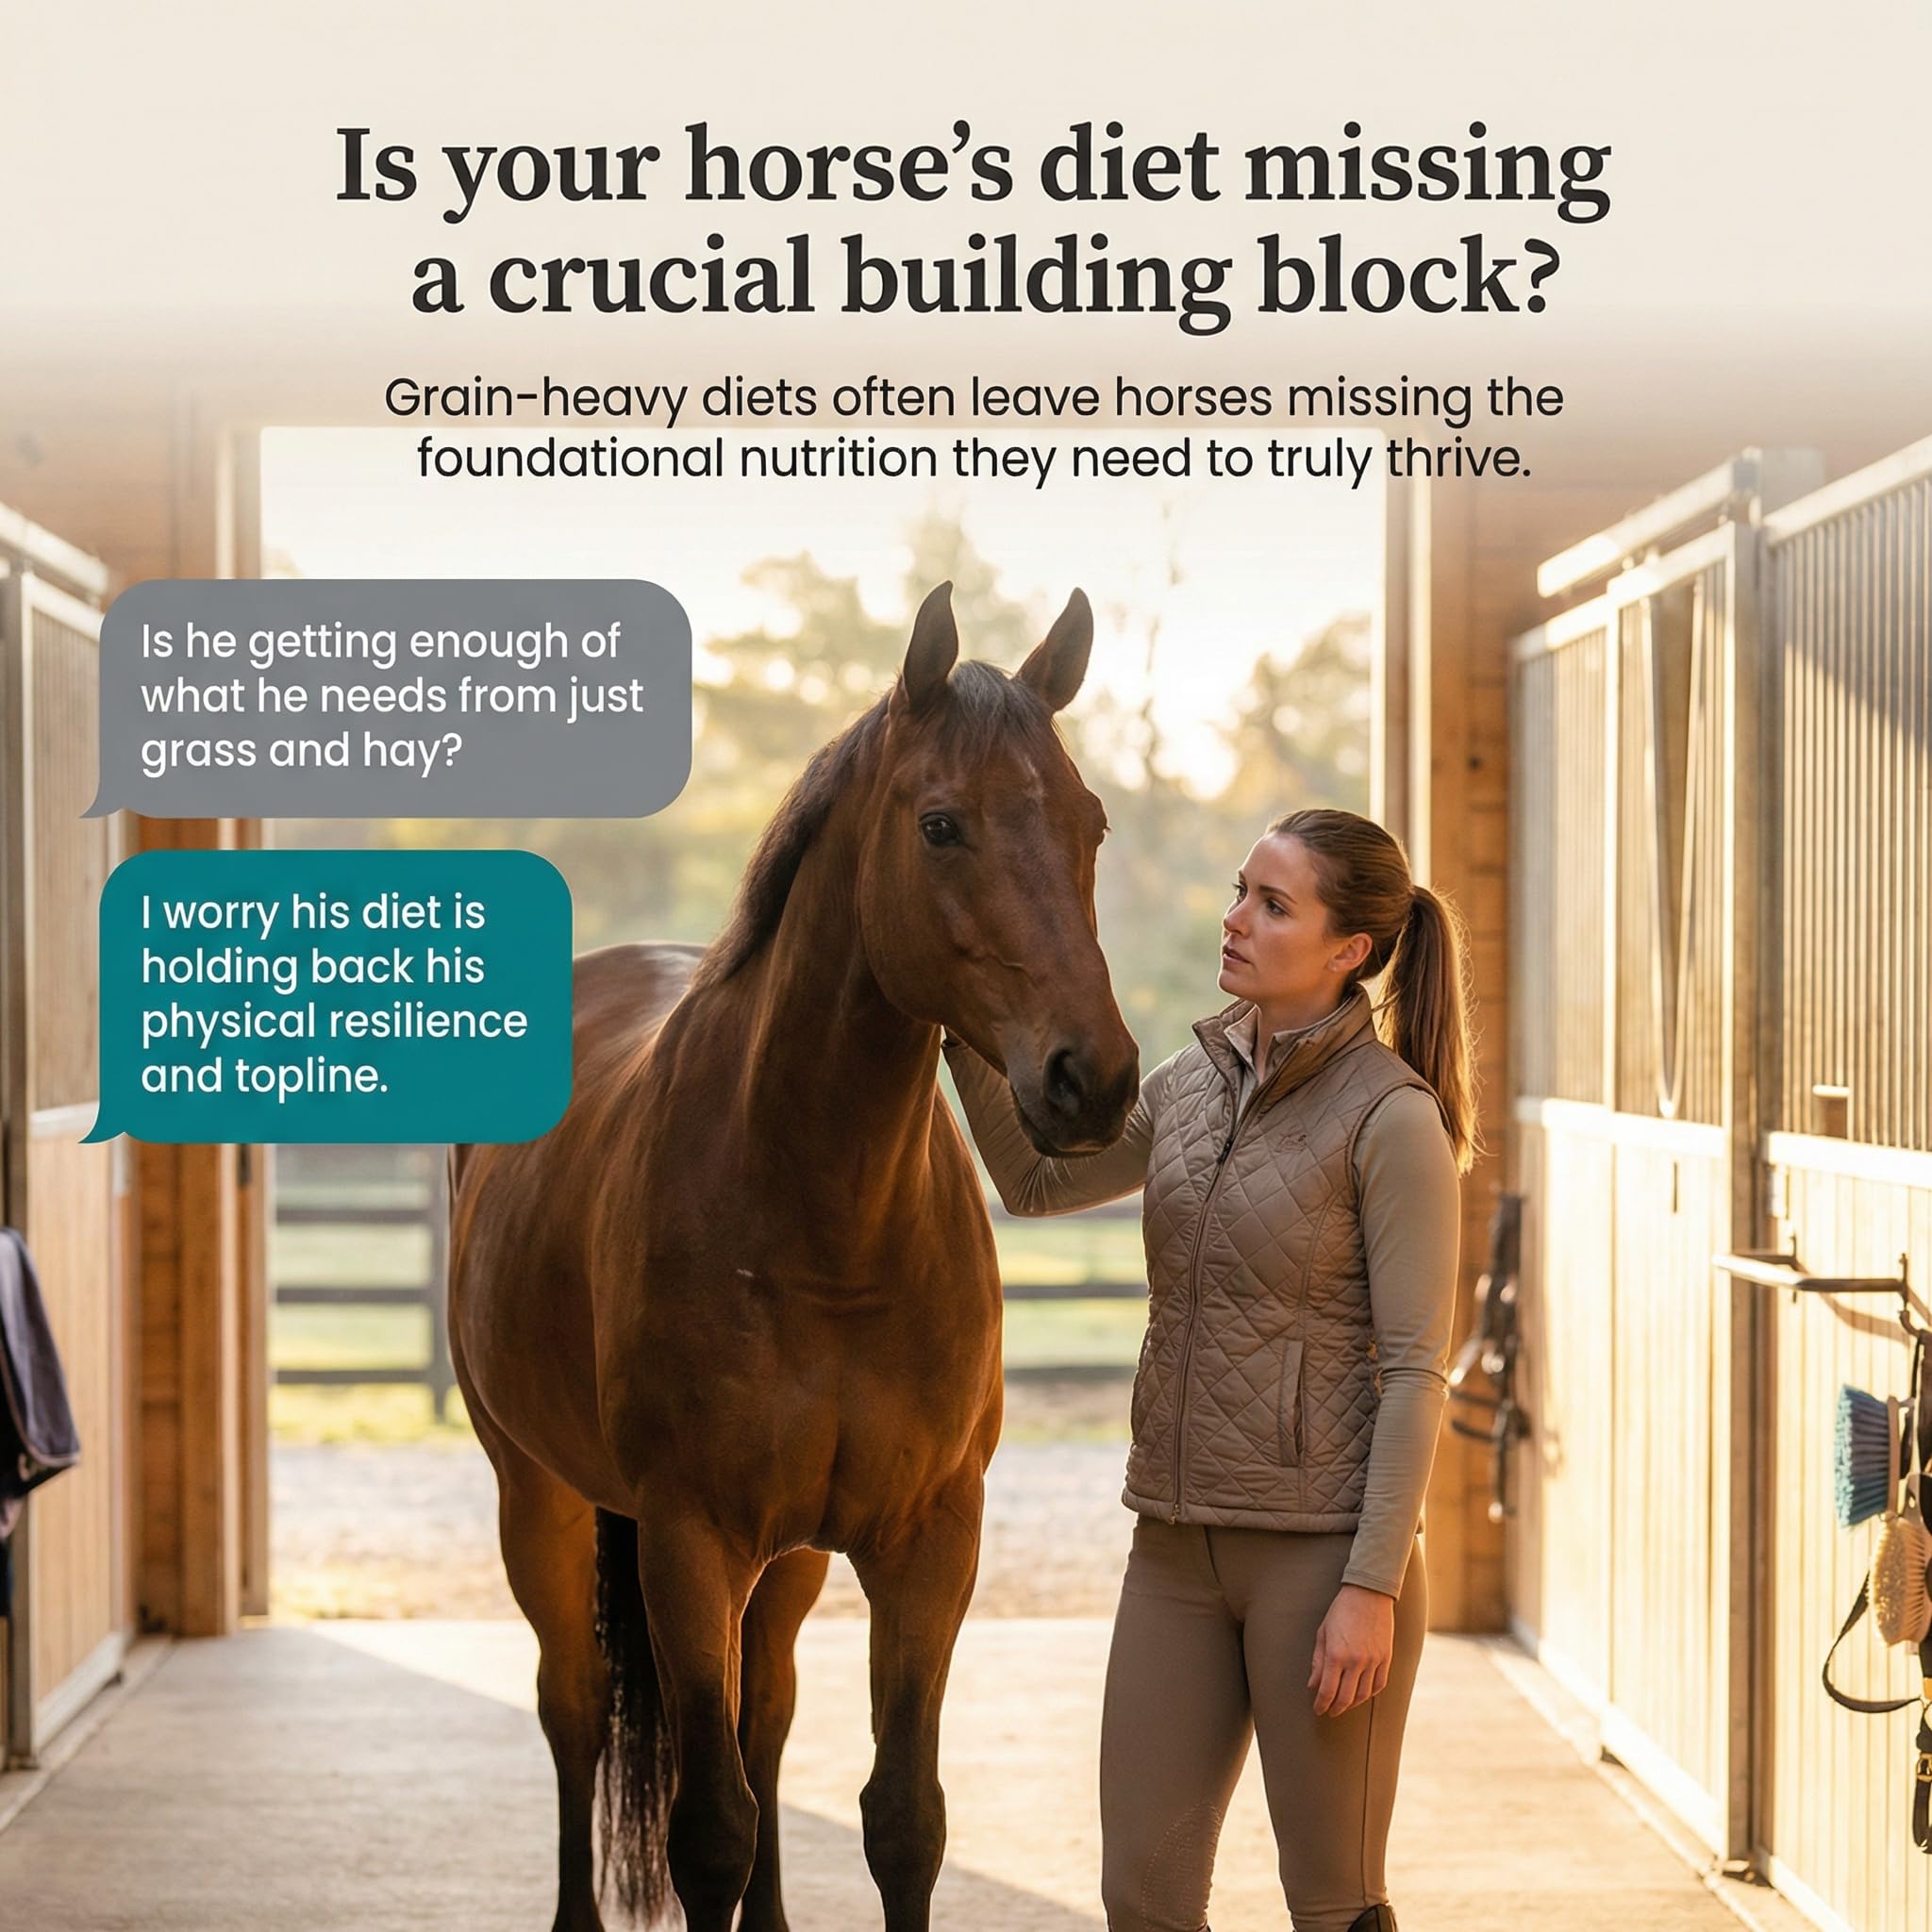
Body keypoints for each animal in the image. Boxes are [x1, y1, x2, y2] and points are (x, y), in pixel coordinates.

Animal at [447, 582, 1139, 1932]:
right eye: (940, 824)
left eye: (1087, 823)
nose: (1091, 1078)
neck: (827, 1234)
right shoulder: (689, 1538)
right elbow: (707, 1829)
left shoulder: (927, 1538)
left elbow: (901, 1817)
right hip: (539, 1496)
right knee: (574, 1710)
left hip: (794, 1557)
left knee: (764, 1715)